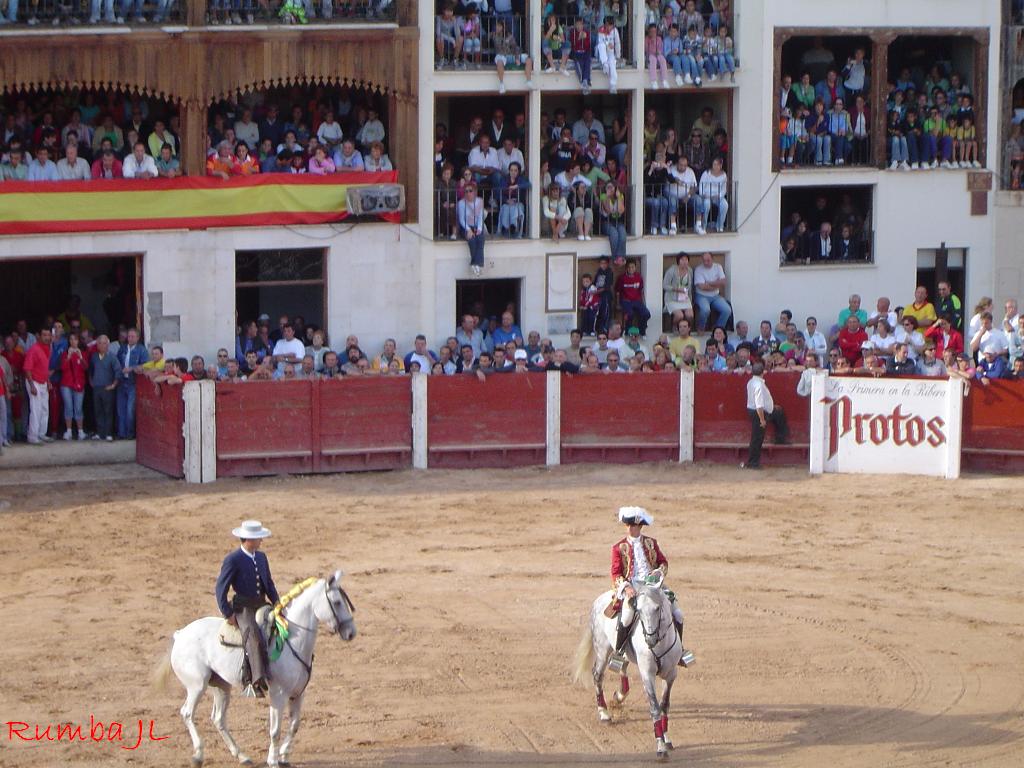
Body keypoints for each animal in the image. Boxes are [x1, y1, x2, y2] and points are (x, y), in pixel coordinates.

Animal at [152, 573, 356, 768]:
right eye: (337, 602)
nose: (351, 633)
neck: (292, 641)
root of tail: (180, 634)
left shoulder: (298, 694)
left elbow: (294, 725)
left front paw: (284, 756)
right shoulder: (278, 695)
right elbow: (275, 730)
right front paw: (273, 761)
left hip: (220, 685)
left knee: (218, 718)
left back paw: (242, 756)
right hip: (197, 685)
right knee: (187, 713)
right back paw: (198, 756)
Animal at [577, 581, 679, 761]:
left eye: (657, 608)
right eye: (638, 610)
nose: (650, 639)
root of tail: (599, 599)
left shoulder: (671, 675)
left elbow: (664, 706)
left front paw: (667, 739)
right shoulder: (647, 675)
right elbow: (655, 708)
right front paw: (660, 747)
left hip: (622, 653)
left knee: (622, 669)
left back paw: (619, 696)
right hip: (602, 650)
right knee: (598, 675)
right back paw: (604, 713)